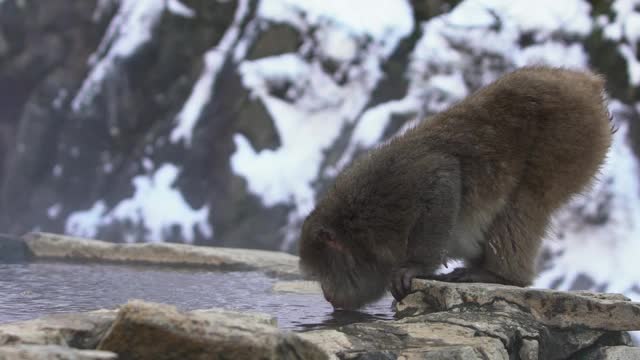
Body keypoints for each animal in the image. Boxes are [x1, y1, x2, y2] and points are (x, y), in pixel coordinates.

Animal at [298, 67, 612, 310]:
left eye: (323, 275)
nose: (327, 296)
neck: (358, 230)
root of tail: (585, 82)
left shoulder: (391, 193)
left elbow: (444, 177)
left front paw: (416, 267)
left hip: (571, 132)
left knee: (526, 200)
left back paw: (501, 276)